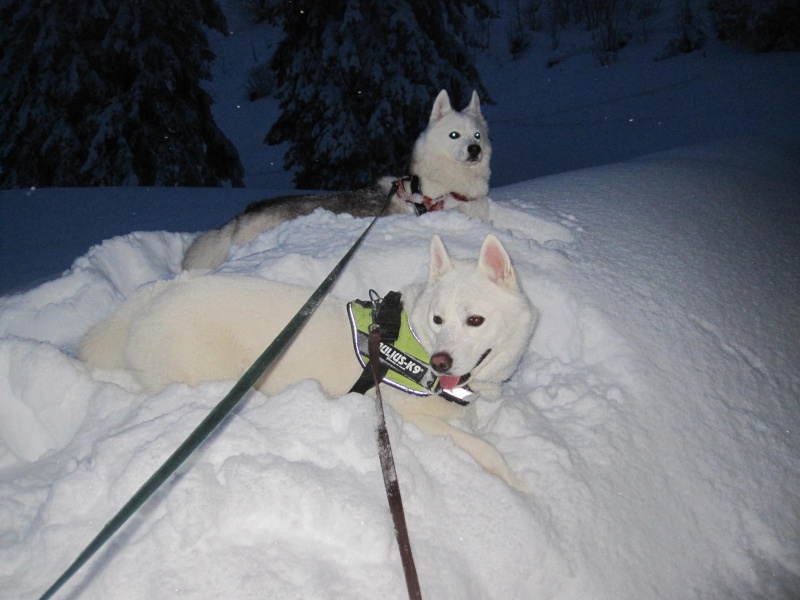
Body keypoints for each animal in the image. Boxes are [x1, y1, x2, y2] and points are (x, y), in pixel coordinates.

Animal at [81, 234, 536, 488]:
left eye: (475, 320)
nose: (441, 363)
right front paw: (521, 485)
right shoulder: (414, 419)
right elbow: (484, 448)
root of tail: (155, 296)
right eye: (439, 319)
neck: (416, 340)